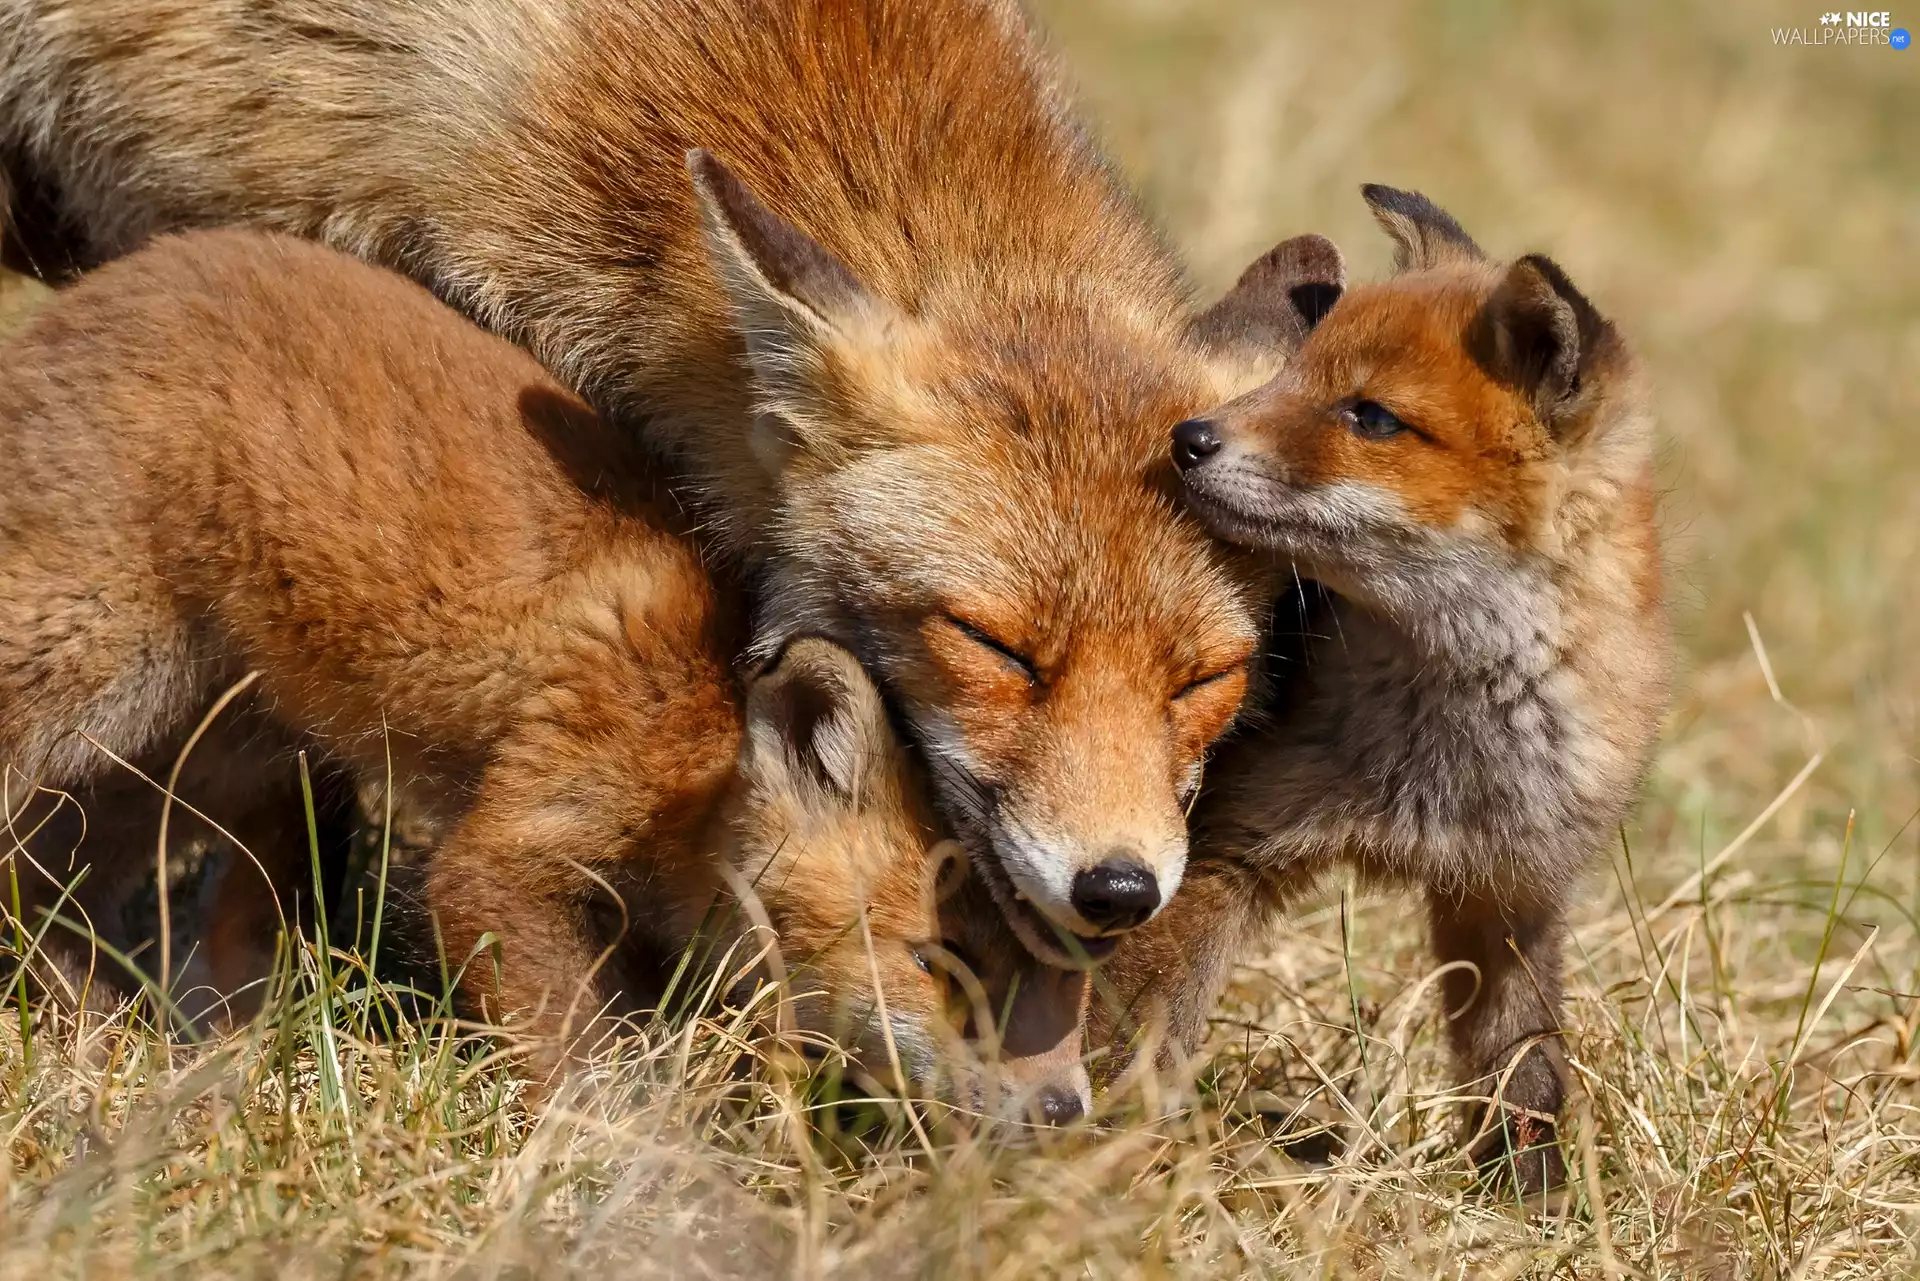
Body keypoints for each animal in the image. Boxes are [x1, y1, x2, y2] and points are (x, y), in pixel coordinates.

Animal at [0, 228, 1089, 1120]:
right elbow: (582, 1060)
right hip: (91, 672)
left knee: (49, 881)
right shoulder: (506, 855)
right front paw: (638, 1171)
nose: (1065, 1109)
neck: (697, 736)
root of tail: (90, 293)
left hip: (199, 755)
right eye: (941, 963)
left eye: (1066, 981)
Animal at [1093, 188, 1669, 1191]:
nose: (1188, 437)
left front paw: (1530, 1198)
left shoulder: (1511, 892)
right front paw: (1101, 1157)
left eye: (1370, 416)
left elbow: (1525, 1069)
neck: (1446, 751)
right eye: (1292, 373)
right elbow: (1142, 1034)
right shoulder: (1221, 848)